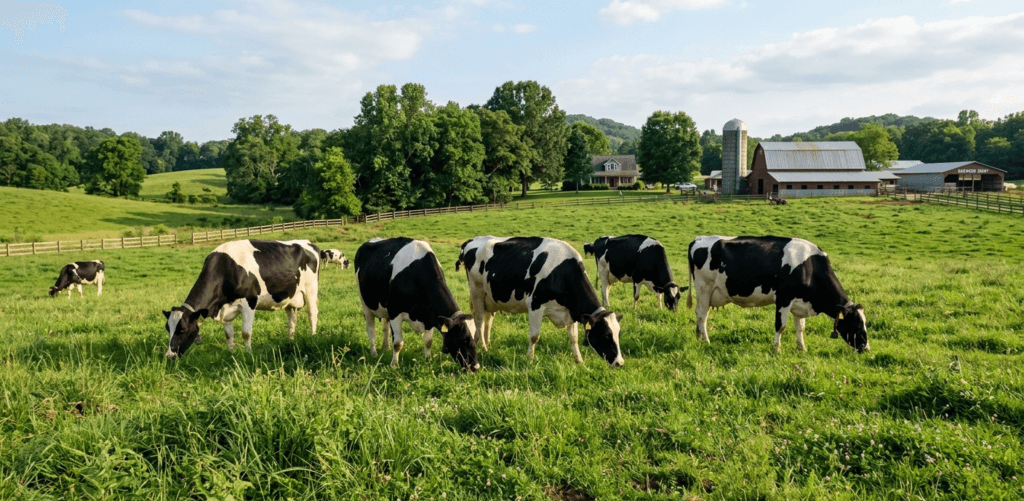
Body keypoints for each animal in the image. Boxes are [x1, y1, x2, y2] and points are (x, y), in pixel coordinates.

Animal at [163, 239, 320, 359]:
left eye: (182, 330)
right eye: (167, 328)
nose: (169, 356)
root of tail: (308, 242)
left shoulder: (249, 303)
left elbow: (245, 333)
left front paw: (248, 353)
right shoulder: (225, 310)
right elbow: (228, 335)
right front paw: (231, 353)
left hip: (311, 289)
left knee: (312, 314)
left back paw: (313, 337)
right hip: (290, 298)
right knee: (292, 320)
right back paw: (290, 340)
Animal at [354, 237, 479, 371]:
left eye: (475, 338)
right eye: (463, 339)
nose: (476, 366)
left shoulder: (430, 316)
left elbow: (428, 341)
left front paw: (428, 360)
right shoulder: (395, 312)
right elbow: (398, 343)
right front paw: (394, 365)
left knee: (385, 327)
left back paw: (386, 348)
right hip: (365, 303)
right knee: (371, 328)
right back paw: (373, 352)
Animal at [457, 236, 625, 367]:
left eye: (618, 334)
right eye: (605, 335)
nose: (620, 362)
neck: (562, 273)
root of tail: (473, 240)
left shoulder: (571, 310)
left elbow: (574, 338)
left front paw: (579, 361)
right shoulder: (535, 305)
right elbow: (534, 336)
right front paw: (530, 359)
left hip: (491, 298)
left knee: (488, 320)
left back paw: (485, 343)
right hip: (477, 292)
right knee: (479, 321)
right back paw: (483, 347)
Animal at [687, 235, 868, 353]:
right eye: (856, 324)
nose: (866, 348)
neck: (809, 267)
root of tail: (698, 239)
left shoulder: (800, 303)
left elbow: (800, 328)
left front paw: (802, 348)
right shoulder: (784, 298)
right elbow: (780, 326)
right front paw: (777, 349)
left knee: (701, 315)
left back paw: (699, 337)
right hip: (704, 288)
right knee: (702, 314)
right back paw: (706, 341)